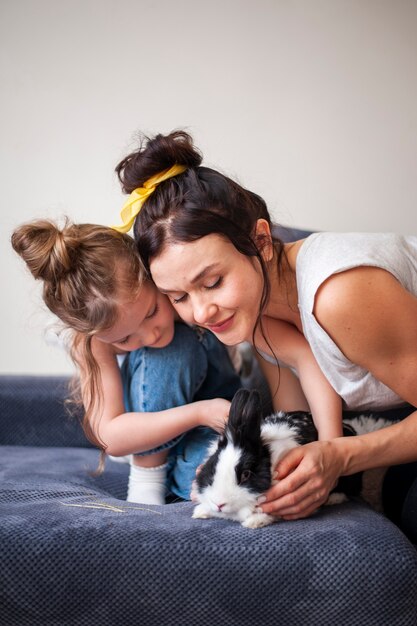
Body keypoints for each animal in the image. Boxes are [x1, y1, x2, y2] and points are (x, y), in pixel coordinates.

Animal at [193, 390, 394, 528]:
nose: (219, 504)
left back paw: (333, 499)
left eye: (246, 474)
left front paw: (254, 522)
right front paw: (200, 512)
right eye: (212, 470)